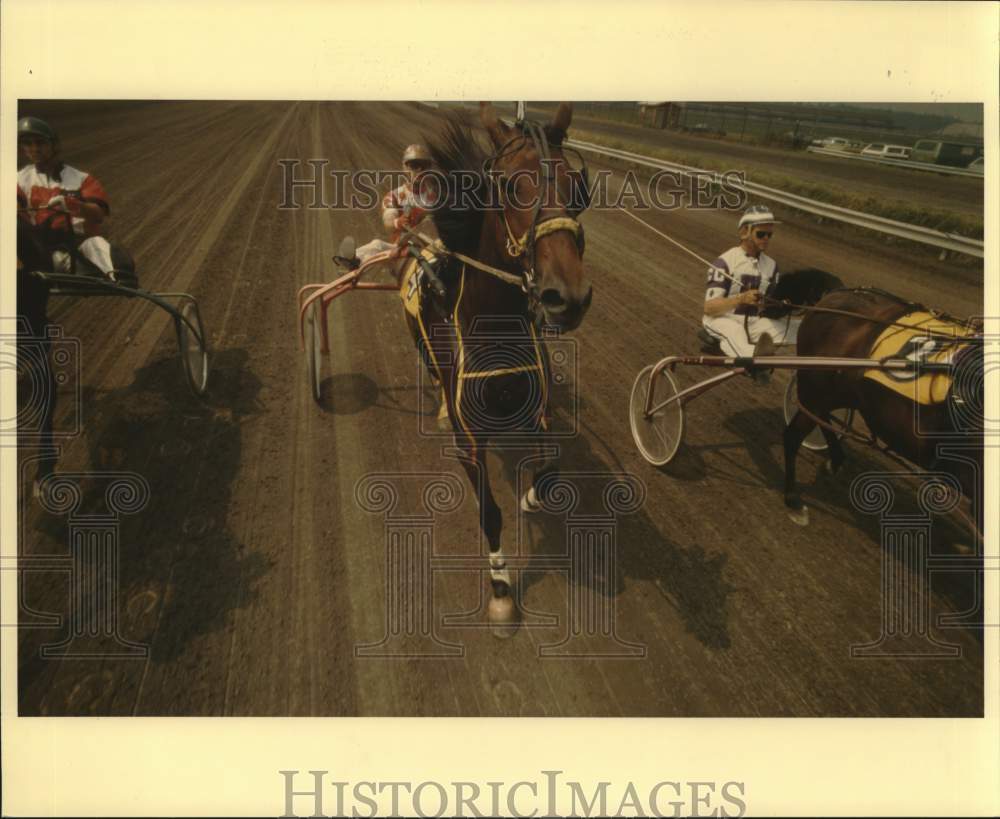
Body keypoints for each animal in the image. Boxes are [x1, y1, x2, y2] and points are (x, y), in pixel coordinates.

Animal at [398, 104, 592, 636]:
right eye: (507, 185)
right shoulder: (470, 440)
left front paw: (532, 498)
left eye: (577, 187)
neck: (497, 332)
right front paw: (502, 590)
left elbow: (549, 473)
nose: (566, 297)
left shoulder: (537, 411)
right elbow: (489, 511)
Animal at [780, 288, 984, 532]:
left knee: (822, 417)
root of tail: (836, 294)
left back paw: (835, 460)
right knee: (793, 434)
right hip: (817, 387)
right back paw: (792, 499)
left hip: (839, 392)